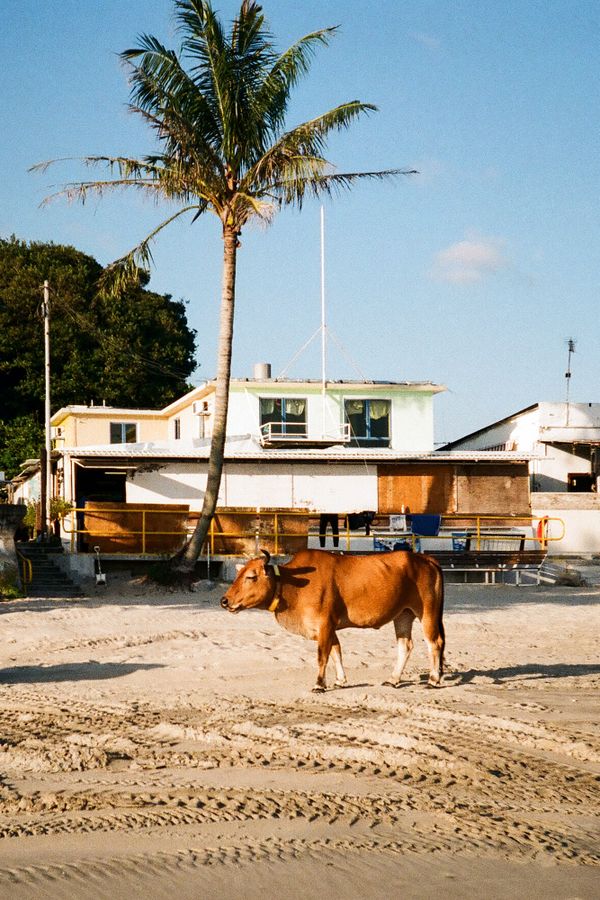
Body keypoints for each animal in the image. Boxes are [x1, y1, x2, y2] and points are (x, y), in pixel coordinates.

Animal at [221, 548, 446, 688]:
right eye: (238, 575)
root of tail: (426, 559)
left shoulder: (325, 624)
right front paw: (339, 680)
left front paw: (319, 684)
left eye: (251, 576)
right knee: (405, 645)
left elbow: (323, 656)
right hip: (403, 615)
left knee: (434, 643)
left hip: (426, 612)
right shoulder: (329, 628)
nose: (224, 601)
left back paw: (434, 679)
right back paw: (393, 679)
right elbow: (336, 651)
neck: (291, 585)